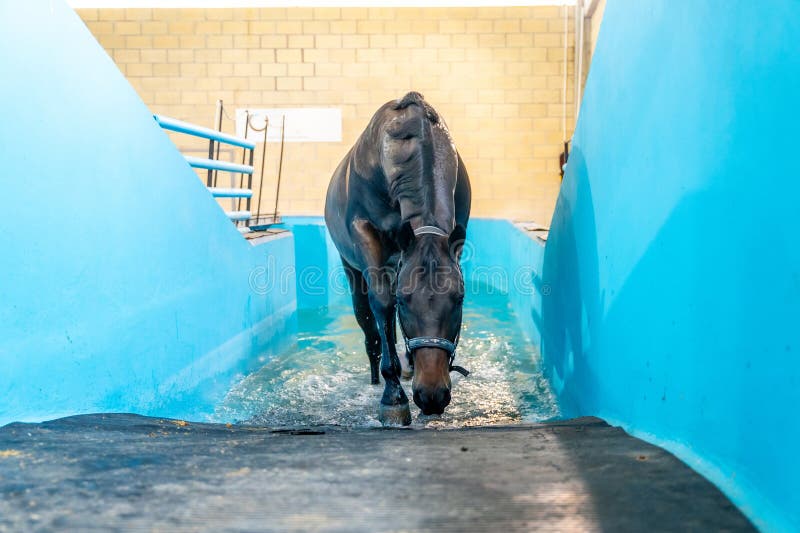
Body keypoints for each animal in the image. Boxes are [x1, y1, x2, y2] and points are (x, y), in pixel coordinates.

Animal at [324, 92, 472, 424]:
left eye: (459, 299)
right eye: (404, 301)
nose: (432, 395)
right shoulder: (365, 234)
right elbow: (382, 305)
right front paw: (393, 398)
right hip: (353, 270)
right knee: (371, 331)